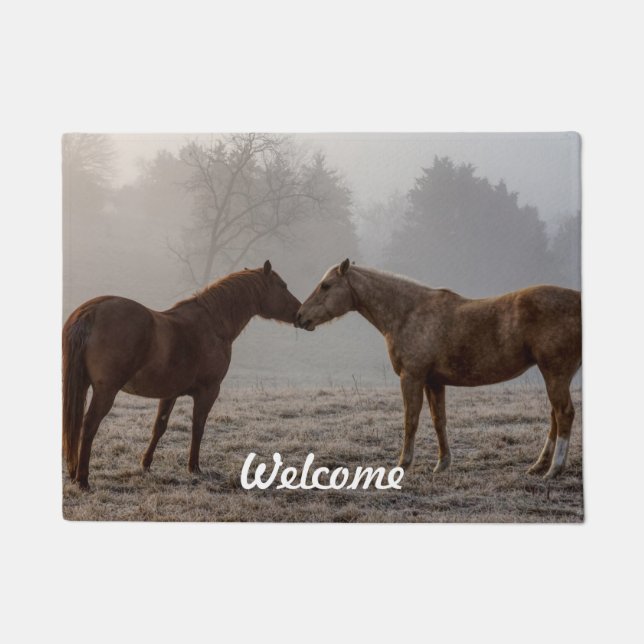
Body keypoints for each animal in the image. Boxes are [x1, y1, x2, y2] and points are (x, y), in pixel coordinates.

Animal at [63, 260, 301, 490]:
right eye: (283, 286)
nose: (300, 313)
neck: (213, 324)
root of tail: (91, 311)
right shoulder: (208, 391)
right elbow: (198, 427)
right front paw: (194, 467)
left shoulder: (170, 393)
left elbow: (159, 427)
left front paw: (145, 464)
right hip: (105, 391)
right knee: (89, 425)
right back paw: (82, 480)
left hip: (81, 385)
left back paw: (74, 474)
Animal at [296, 259, 581, 480]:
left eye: (326, 286)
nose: (299, 317)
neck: (408, 313)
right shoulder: (433, 381)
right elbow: (438, 421)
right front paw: (442, 463)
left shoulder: (411, 377)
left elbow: (410, 420)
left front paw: (403, 464)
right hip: (555, 376)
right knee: (555, 417)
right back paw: (539, 465)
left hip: (555, 374)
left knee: (564, 414)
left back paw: (554, 469)